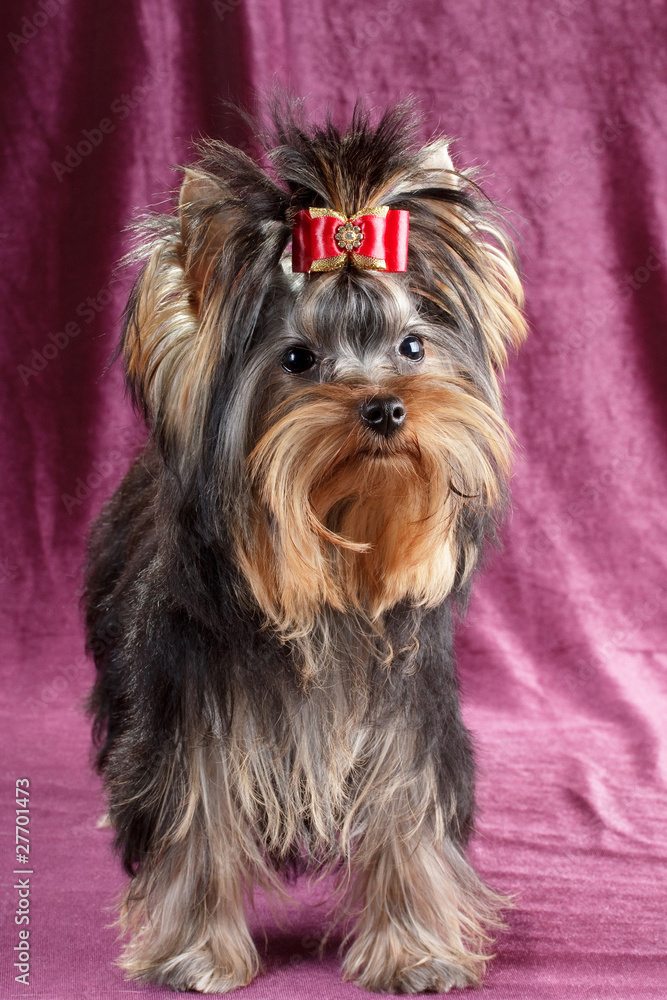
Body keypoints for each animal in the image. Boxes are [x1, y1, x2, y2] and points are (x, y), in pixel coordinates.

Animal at [85, 99, 528, 992]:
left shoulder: (406, 718)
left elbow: (408, 819)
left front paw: (417, 951)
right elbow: (196, 821)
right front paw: (193, 952)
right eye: (298, 358)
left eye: (412, 346)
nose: (386, 407)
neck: (331, 581)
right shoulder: (192, 720)